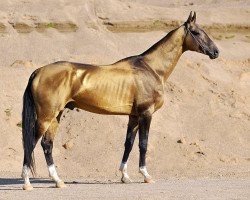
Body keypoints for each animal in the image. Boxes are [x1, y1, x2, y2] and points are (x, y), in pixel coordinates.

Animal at [21, 11, 219, 190]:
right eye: (197, 32)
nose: (216, 52)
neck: (151, 68)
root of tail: (38, 71)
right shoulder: (146, 114)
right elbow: (143, 144)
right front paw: (146, 176)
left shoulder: (134, 116)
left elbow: (128, 144)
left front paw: (125, 176)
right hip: (46, 116)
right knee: (31, 143)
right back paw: (27, 183)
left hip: (56, 115)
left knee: (47, 144)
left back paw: (58, 181)